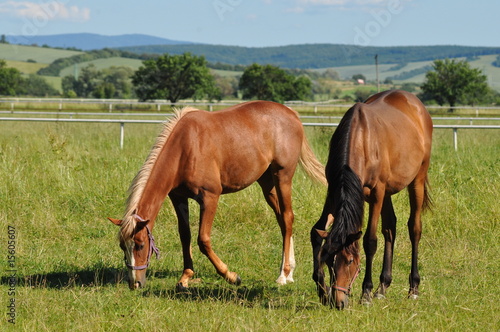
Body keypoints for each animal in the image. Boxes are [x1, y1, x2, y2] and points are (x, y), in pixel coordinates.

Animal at [107, 100, 326, 290]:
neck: (186, 148)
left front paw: (231, 276)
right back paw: (289, 272)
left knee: (288, 217)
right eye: (122, 246)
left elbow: (203, 240)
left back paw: (283, 274)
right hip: (267, 183)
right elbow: (185, 236)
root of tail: (291, 114)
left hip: (283, 176)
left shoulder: (210, 197)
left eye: (140, 245)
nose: (134, 283)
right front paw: (185, 277)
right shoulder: (179, 198)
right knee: (282, 220)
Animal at [310, 89, 432, 310]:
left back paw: (413, 289)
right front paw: (322, 291)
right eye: (329, 261)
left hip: (416, 180)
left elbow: (370, 241)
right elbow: (316, 232)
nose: (339, 302)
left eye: (350, 261)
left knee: (415, 229)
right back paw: (382, 287)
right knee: (390, 228)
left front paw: (366, 292)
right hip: (388, 192)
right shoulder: (334, 190)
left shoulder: (377, 193)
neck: (361, 140)